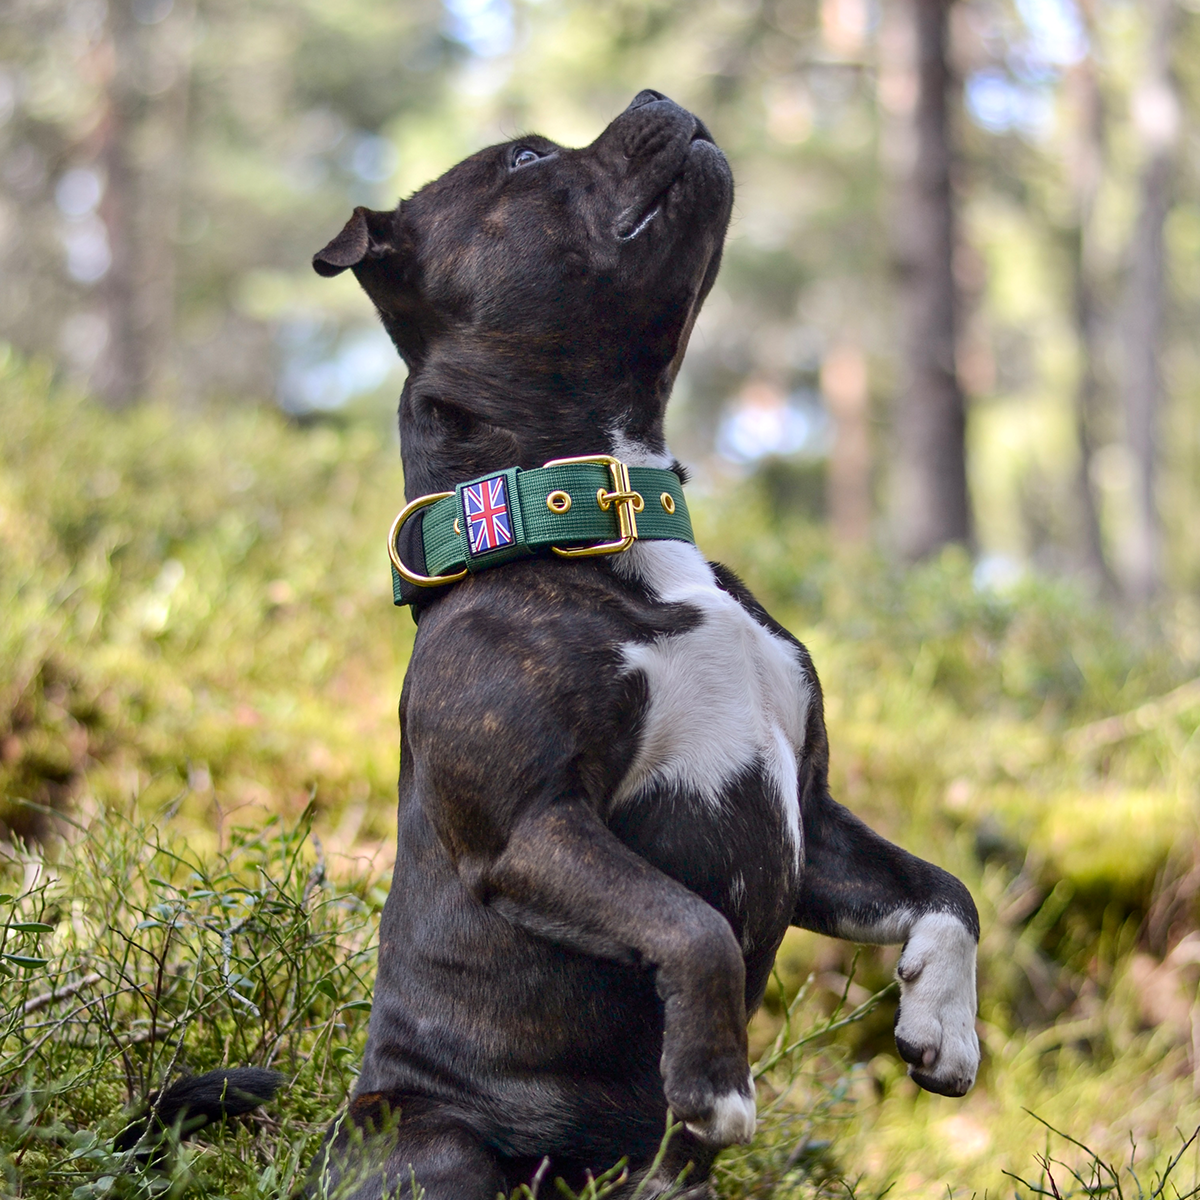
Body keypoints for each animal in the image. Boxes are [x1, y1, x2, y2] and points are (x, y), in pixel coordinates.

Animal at [295, 88, 979, 1195]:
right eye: (526, 160)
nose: (659, 97)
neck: (601, 512)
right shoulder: (536, 827)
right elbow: (693, 926)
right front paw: (715, 1084)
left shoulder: (812, 817)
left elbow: (947, 891)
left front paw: (944, 1025)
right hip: (433, 1142)